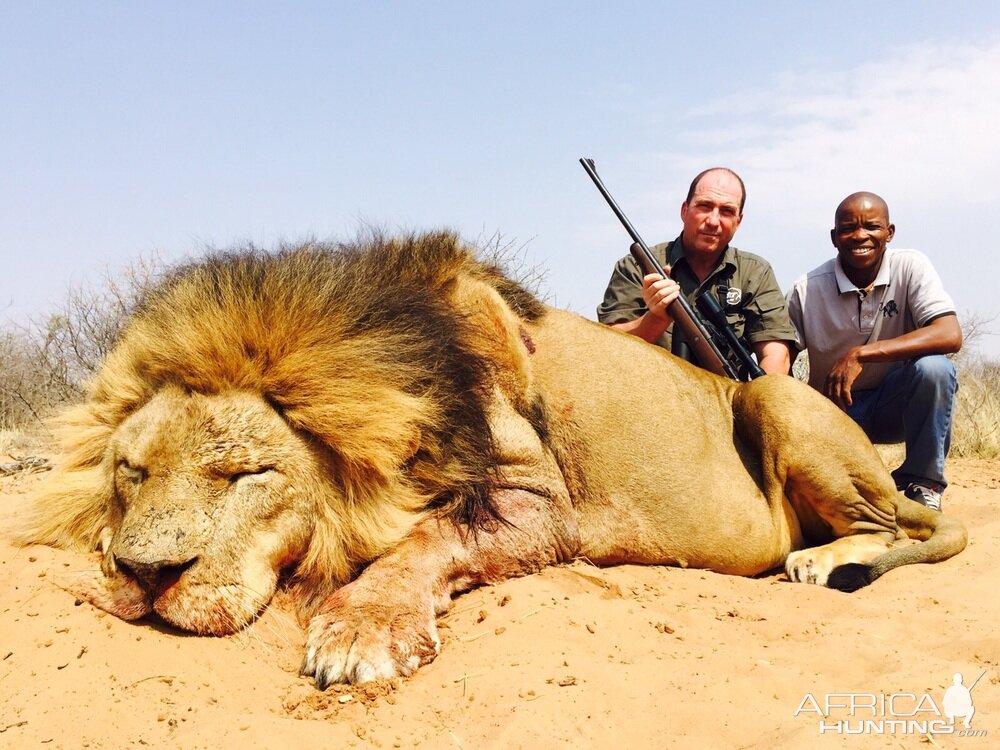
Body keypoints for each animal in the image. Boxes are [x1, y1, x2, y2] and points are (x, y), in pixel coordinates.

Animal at [13, 229, 968, 688]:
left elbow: (424, 541)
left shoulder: (542, 506)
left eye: (247, 474)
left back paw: (821, 560)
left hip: (774, 399)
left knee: (891, 526)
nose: (144, 576)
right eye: (130, 473)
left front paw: (363, 632)